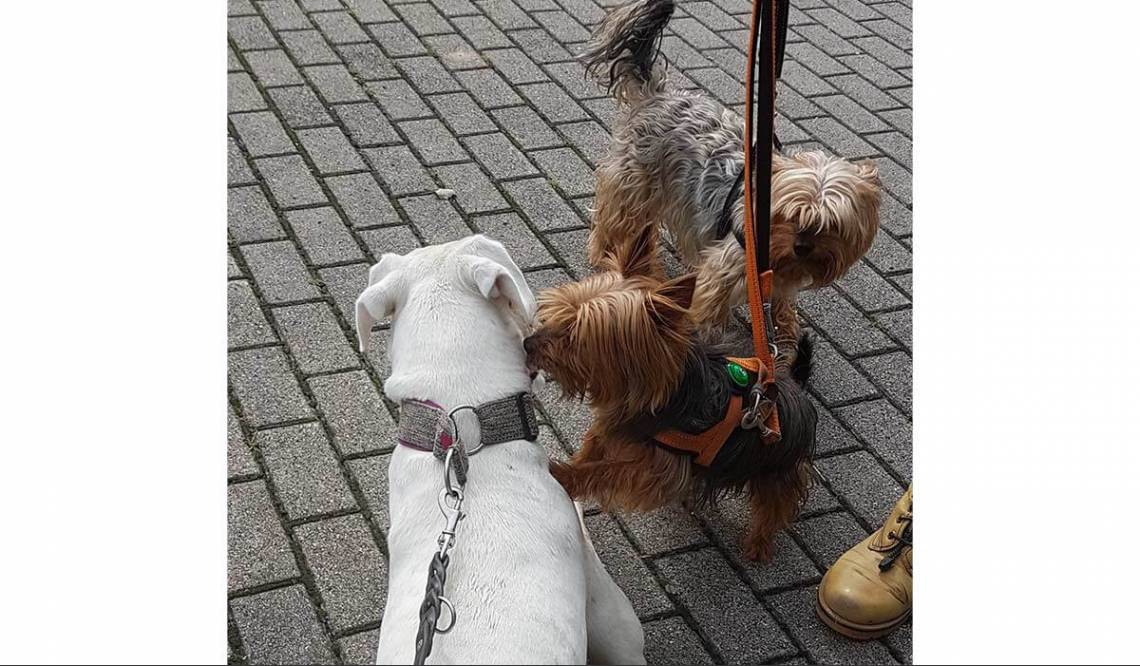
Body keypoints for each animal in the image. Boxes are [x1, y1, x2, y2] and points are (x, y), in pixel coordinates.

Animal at [524, 225, 820, 558]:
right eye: (557, 313)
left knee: (775, 505)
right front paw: (572, 468)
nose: (528, 343)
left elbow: (608, 471)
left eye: (574, 336)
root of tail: (794, 385)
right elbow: (594, 448)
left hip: (777, 467)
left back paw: (758, 545)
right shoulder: (614, 426)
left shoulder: (659, 470)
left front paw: (565, 476)